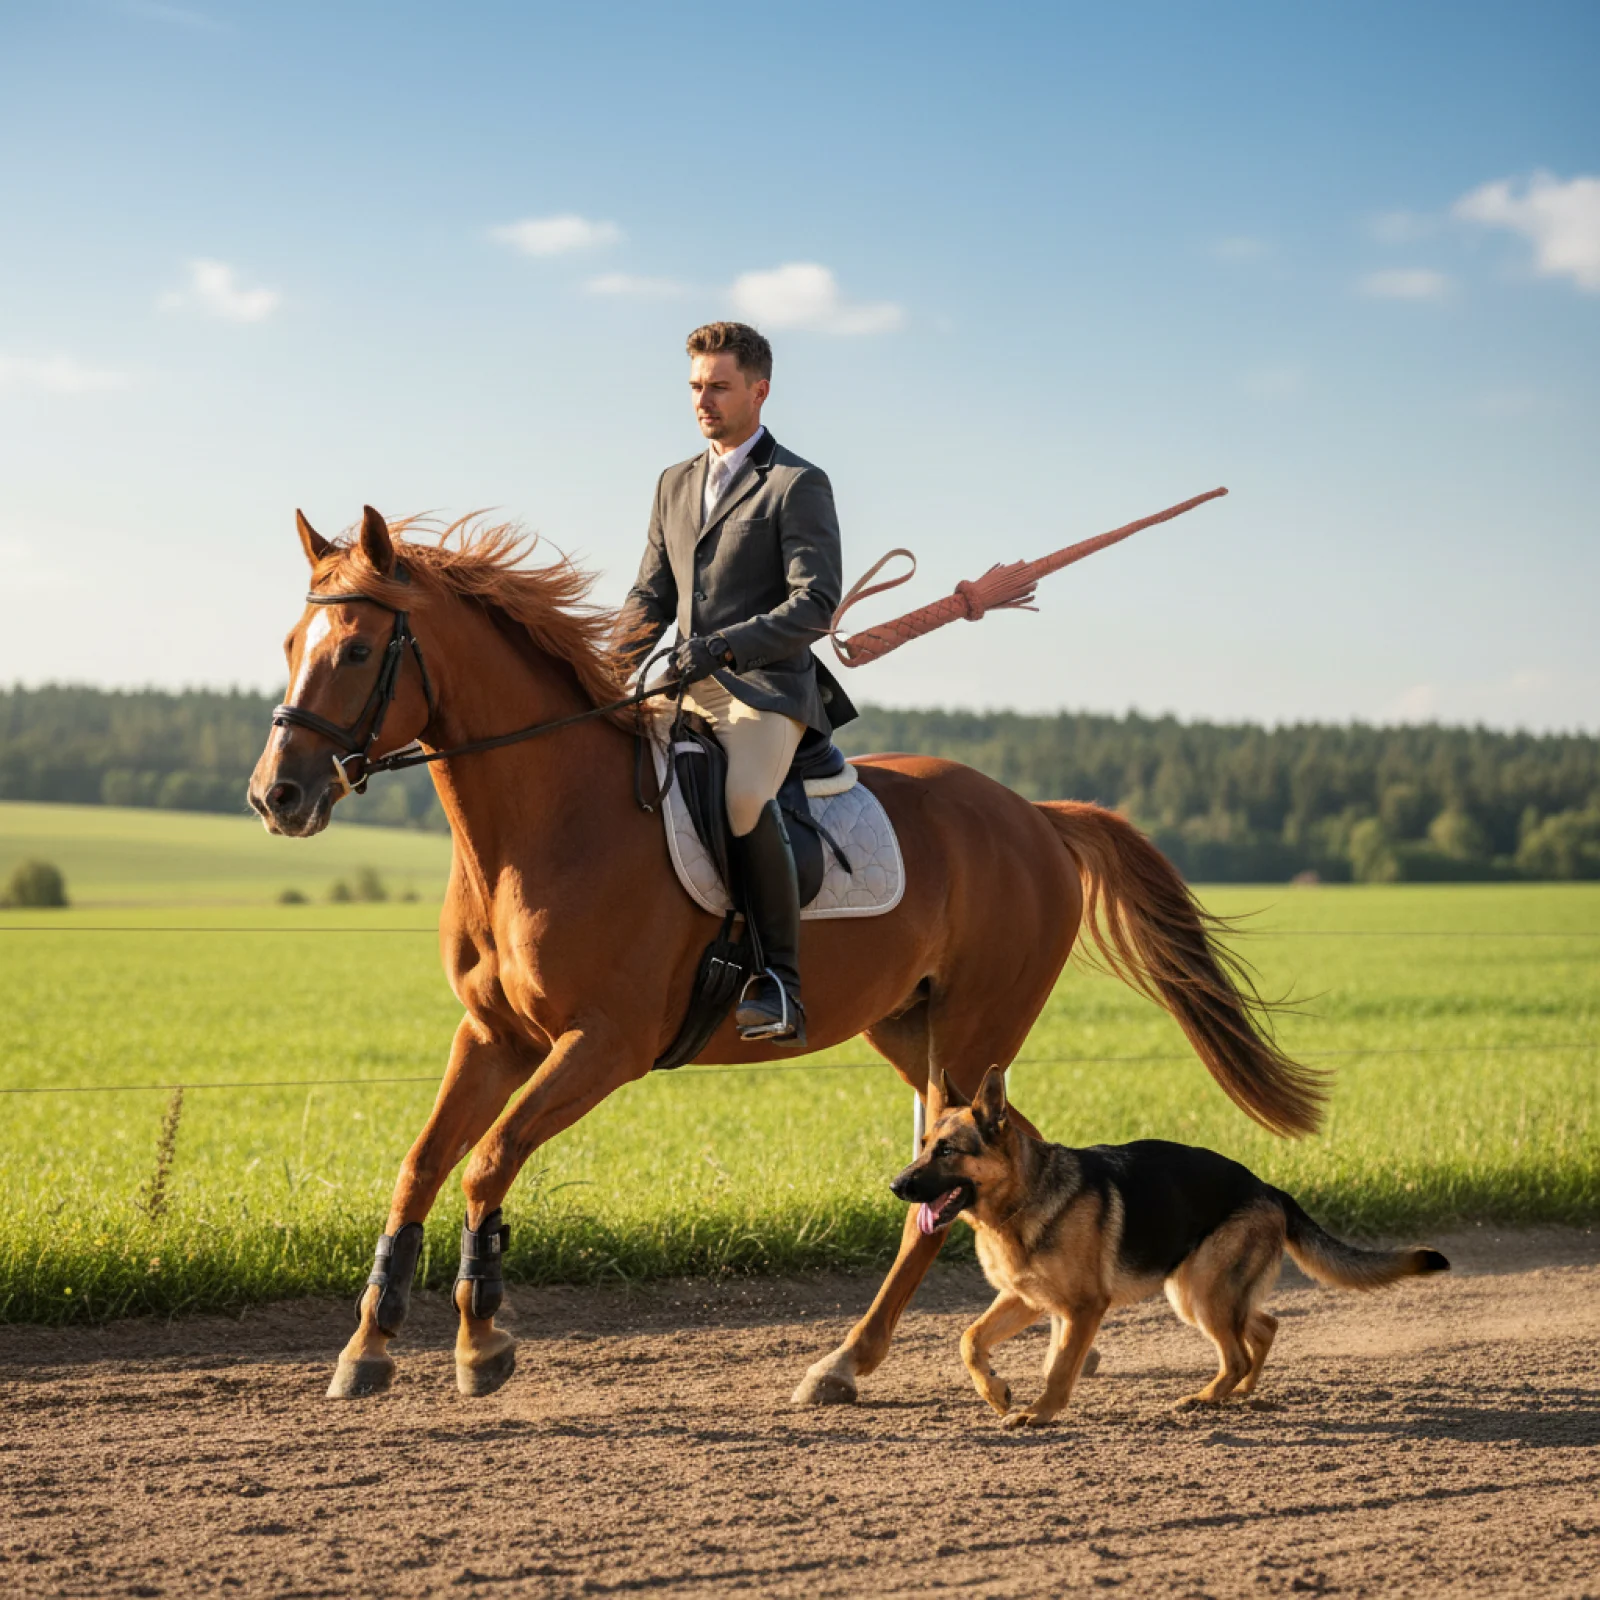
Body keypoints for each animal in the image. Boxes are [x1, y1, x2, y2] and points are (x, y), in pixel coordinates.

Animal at [248, 506, 1324, 1403]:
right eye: (292, 644)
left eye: (355, 649)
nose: (276, 796)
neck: (545, 825)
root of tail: (1037, 815)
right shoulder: (494, 1036)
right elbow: (420, 1166)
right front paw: (368, 1348)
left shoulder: (603, 1044)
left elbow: (485, 1165)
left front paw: (481, 1345)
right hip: (912, 1029)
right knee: (970, 1164)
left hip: (975, 1028)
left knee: (940, 1198)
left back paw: (846, 1362)